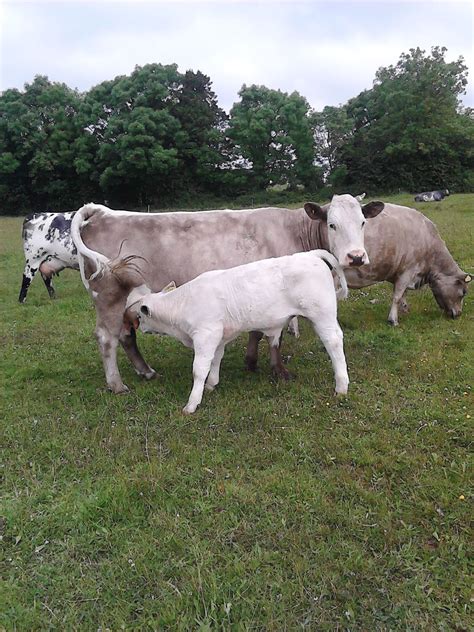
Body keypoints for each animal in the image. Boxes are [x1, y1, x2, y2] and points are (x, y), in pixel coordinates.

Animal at [69, 195, 382, 392]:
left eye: (363, 222)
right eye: (332, 224)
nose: (356, 257)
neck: (293, 231)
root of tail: (102, 212)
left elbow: (257, 331)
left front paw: (251, 362)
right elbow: (273, 335)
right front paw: (273, 369)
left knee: (125, 335)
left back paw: (146, 372)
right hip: (108, 295)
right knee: (107, 338)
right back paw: (117, 384)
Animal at [124, 249, 350, 418]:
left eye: (140, 317)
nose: (139, 329)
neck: (184, 303)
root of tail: (310, 254)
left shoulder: (206, 335)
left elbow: (199, 369)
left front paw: (192, 404)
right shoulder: (219, 337)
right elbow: (216, 360)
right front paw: (211, 384)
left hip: (322, 315)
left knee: (334, 342)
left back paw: (341, 386)